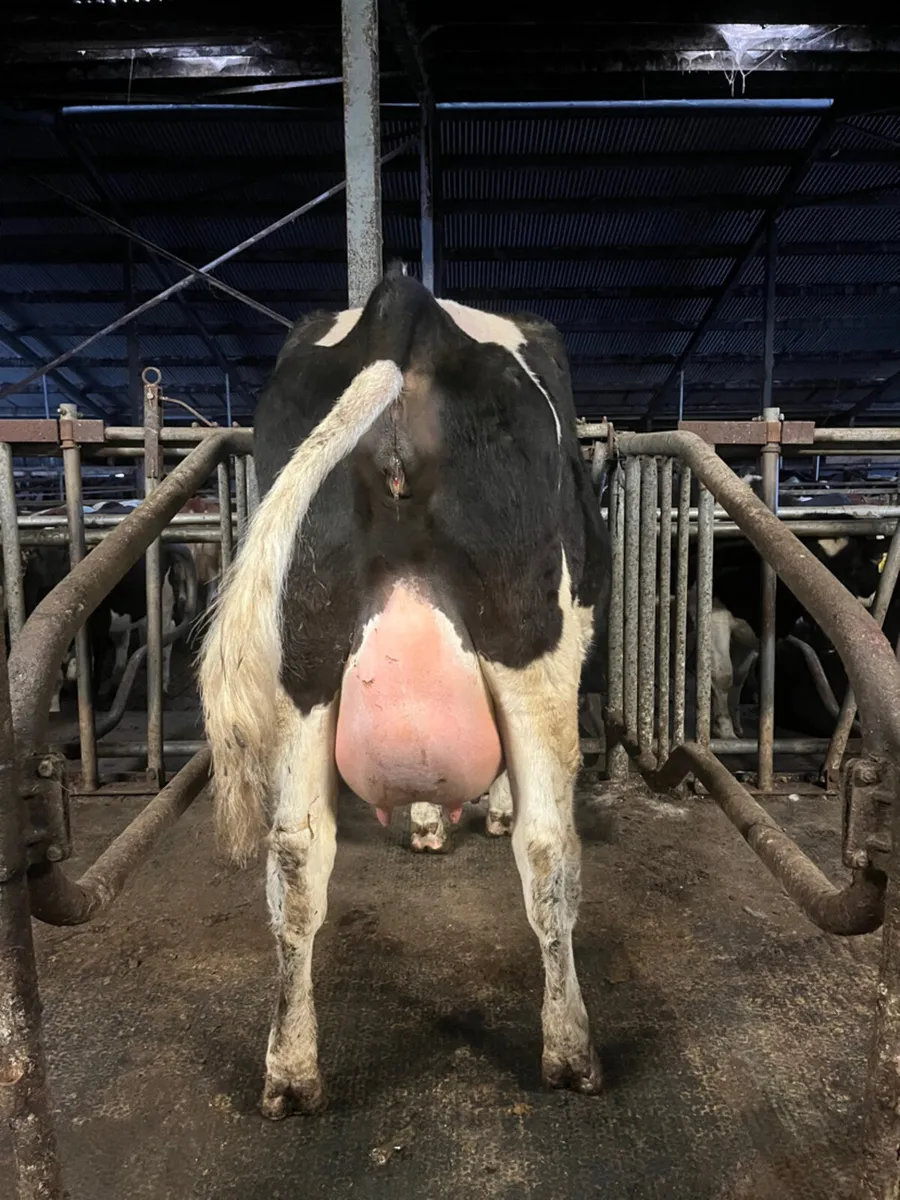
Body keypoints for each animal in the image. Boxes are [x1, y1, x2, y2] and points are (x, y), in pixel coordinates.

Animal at [199, 269, 610, 1116]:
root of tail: (402, 300)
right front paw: (476, 813)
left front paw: (427, 821)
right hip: (531, 636)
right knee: (549, 849)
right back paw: (571, 1051)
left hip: (303, 642)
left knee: (296, 856)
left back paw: (291, 1071)